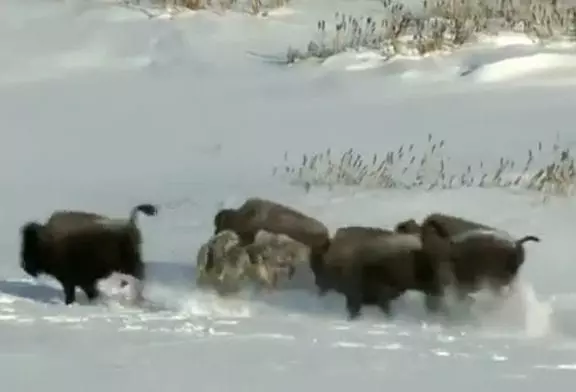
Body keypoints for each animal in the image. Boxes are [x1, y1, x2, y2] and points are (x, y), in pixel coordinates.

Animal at [19, 204, 158, 304]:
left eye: (31, 246)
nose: (25, 266)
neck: (48, 242)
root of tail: (130, 223)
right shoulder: (81, 282)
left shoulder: (73, 281)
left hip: (129, 266)